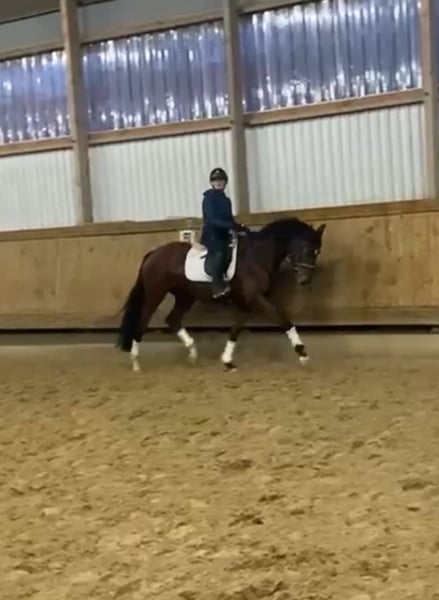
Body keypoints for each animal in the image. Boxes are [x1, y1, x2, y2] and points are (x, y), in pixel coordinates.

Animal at [117, 217, 326, 371]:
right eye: (306, 249)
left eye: (317, 252)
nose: (304, 280)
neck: (257, 257)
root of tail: (154, 254)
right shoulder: (257, 299)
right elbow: (283, 320)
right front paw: (303, 354)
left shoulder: (247, 302)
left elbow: (236, 329)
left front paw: (227, 360)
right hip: (156, 293)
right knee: (143, 320)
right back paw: (136, 362)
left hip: (185, 296)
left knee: (172, 319)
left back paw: (192, 353)